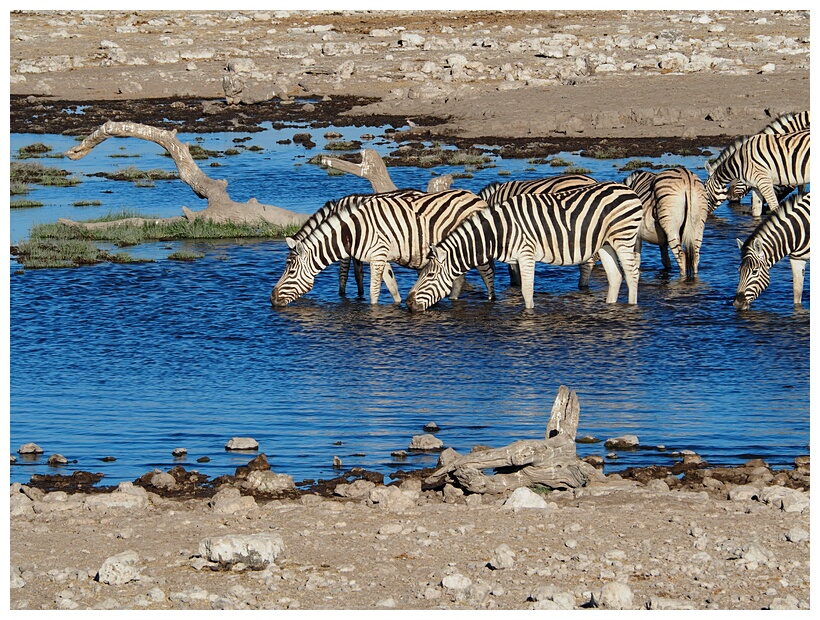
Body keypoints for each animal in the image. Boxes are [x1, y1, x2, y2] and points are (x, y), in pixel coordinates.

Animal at [272, 188, 494, 306]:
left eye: (290, 271)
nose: (272, 298)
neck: (351, 230)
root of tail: (476, 197)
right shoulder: (380, 257)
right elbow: (391, 287)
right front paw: (397, 305)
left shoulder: (374, 256)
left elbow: (368, 289)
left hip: (476, 245)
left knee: (487, 275)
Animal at [406, 182, 644, 312]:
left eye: (429, 276)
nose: (408, 304)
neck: (500, 231)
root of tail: (627, 189)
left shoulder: (526, 253)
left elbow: (527, 290)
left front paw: (529, 314)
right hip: (605, 243)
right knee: (616, 276)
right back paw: (610, 306)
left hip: (623, 238)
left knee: (632, 273)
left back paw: (631, 307)